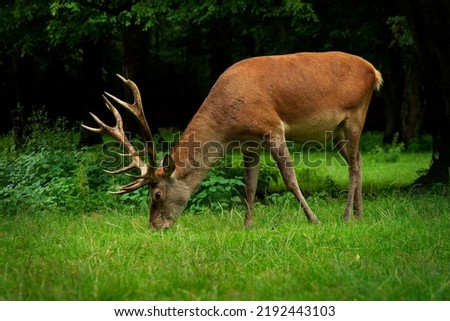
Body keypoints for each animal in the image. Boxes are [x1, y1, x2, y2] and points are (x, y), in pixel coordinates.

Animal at [81, 51, 384, 229]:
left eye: (156, 194)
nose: (155, 226)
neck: (228, 122)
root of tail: (374, 70)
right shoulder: (250, 143)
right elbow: (248, 185)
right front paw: (248, 225)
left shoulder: (272, 128)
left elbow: (290, 179)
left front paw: (314, 219)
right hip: (336, 132)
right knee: (358, 160)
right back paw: (359, 214)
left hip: (356, 114)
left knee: (354, 165)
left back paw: (346, 215)